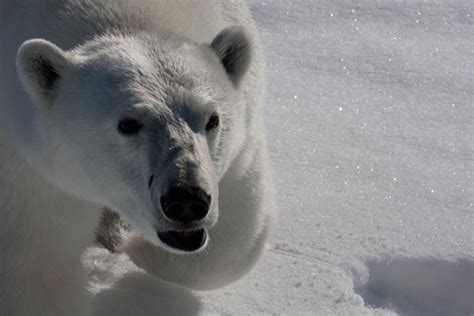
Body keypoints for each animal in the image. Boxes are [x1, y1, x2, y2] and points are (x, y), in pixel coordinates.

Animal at [0, 0, 276, 314]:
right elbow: (36, 264)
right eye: (128, 124)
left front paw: (135, 247)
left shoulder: (241, 139)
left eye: (212, 119)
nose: (187, 200)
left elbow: (235, 232)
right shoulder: (27, 165)